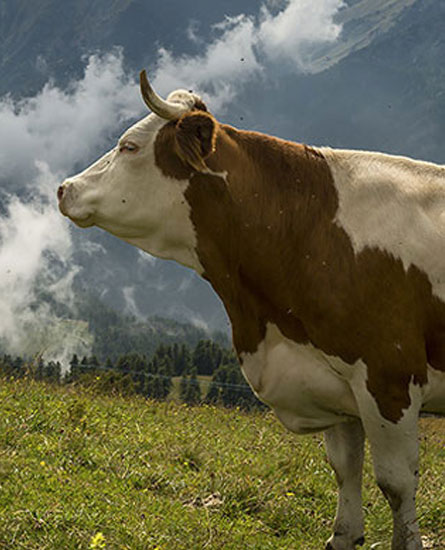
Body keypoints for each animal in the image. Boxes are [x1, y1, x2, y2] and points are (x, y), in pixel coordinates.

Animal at [58, 70, 444, 550]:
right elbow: (344, 471)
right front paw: (344, 533)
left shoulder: (389, 378)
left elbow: (396, 483)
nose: (65, 188)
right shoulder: (332, 382)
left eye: (129, 146)